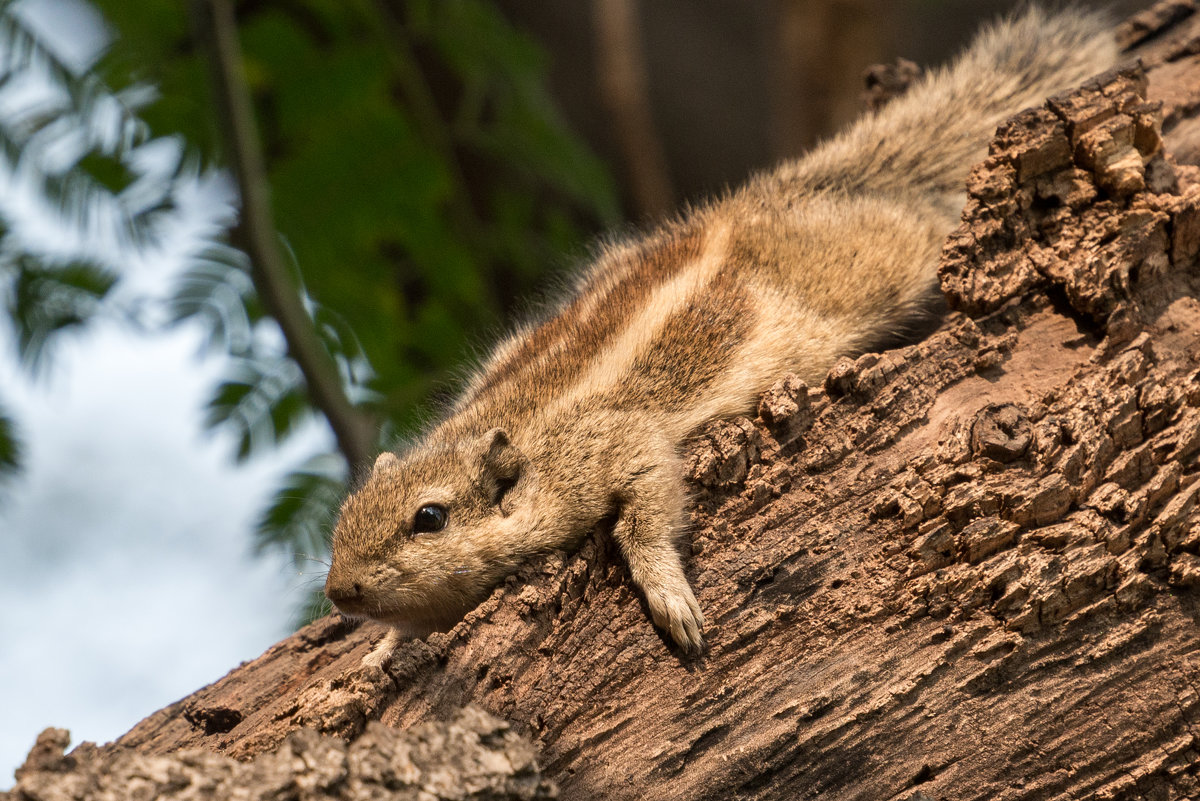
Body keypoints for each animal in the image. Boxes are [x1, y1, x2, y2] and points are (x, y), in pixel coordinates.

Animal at [324, 7, 1118, 661]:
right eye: (343, 517)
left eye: (429, 518)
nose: (338, 592)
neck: (507, 432)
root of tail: (775, 199)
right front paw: (382, 649)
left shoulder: (609, 445)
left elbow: (644, 505)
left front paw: (667, 594)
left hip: (877, 269)